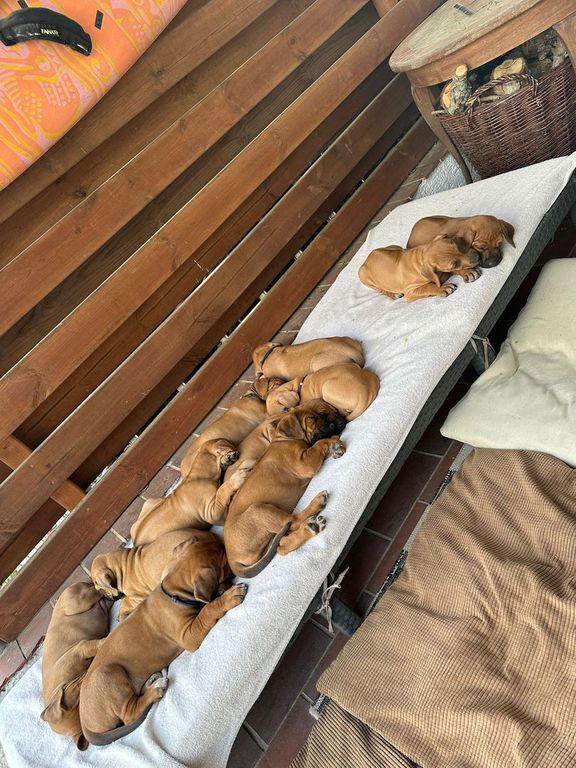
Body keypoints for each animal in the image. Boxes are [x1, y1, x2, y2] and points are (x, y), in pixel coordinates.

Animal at [91, 529, 221, 621]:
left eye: (99, 588)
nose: (107, 598)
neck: (120, 566)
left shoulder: (137, 597)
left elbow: (125, 601)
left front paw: (122, 613)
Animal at [223, 399, 347, 578]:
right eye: (312, 418)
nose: (336, 422)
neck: (284, 439)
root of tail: (232, 561)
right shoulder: (305, 462)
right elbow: (320, 443)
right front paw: (335, 443)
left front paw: (335, 446)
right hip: (259, 509)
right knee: (293, 521)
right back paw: (316, 505)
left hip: (270, 539)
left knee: (281, 546)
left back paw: (311, 528)